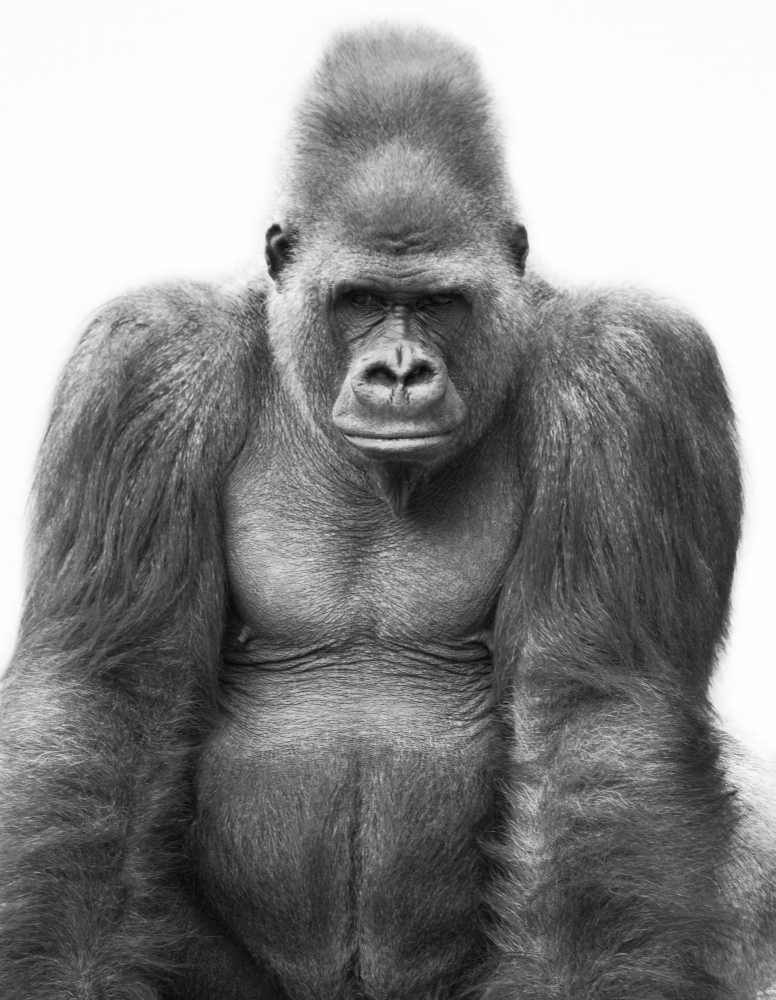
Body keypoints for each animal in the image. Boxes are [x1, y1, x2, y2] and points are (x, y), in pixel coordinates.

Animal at [1, 24, 775, 1000]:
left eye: (439, 302)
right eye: (363, 300)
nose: (399, 373)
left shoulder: (635, 372)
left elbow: (600, 721)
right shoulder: (140, 370)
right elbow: (104, 706)